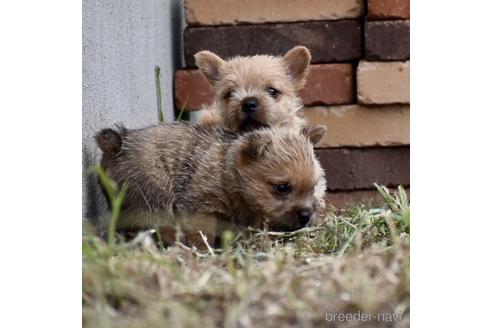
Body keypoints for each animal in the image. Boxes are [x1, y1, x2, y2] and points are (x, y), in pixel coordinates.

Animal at [96, 123, 326, 246]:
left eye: (313, 187)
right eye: (282, 188)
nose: (306, 216)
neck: (228, 172)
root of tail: (117, 145)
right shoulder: (201, 209)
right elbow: (201, 236)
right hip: (155, 194)